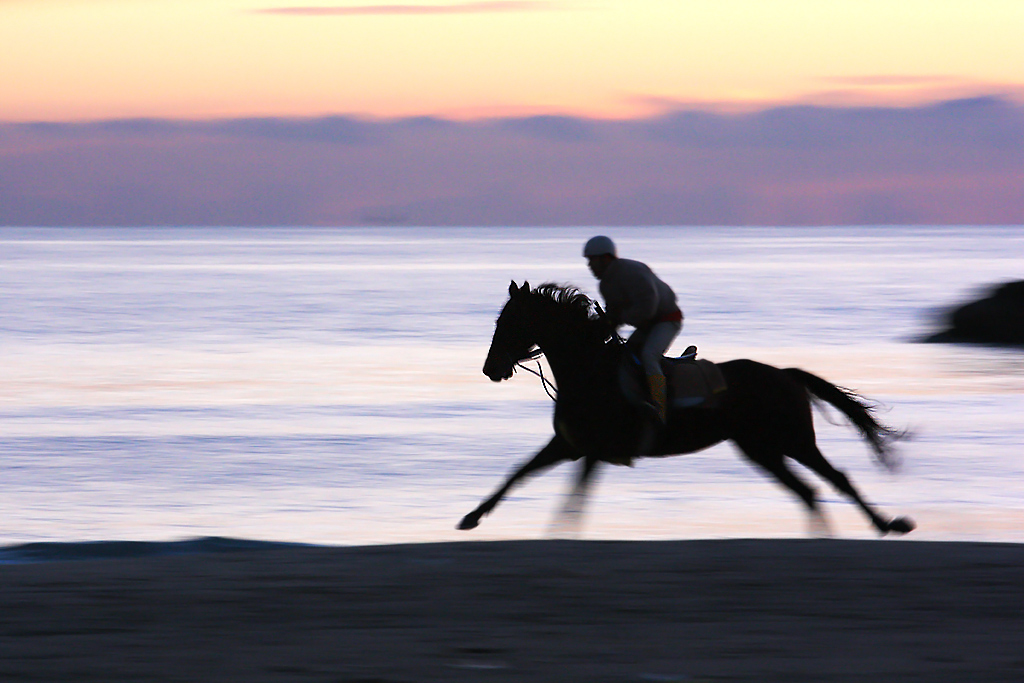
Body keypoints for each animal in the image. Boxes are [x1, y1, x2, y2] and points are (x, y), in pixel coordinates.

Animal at [458, 281, 915, 536]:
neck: (589, 371)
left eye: (510, 323)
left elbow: (573, 498)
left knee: (835, 479)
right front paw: (471, 517)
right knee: (808, 491)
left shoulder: (591, 452)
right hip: (761, 449)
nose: (490, 368)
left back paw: (887, 524)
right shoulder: (571, 446)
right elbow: (518, 474)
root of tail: (786, 374)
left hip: (792, 440)